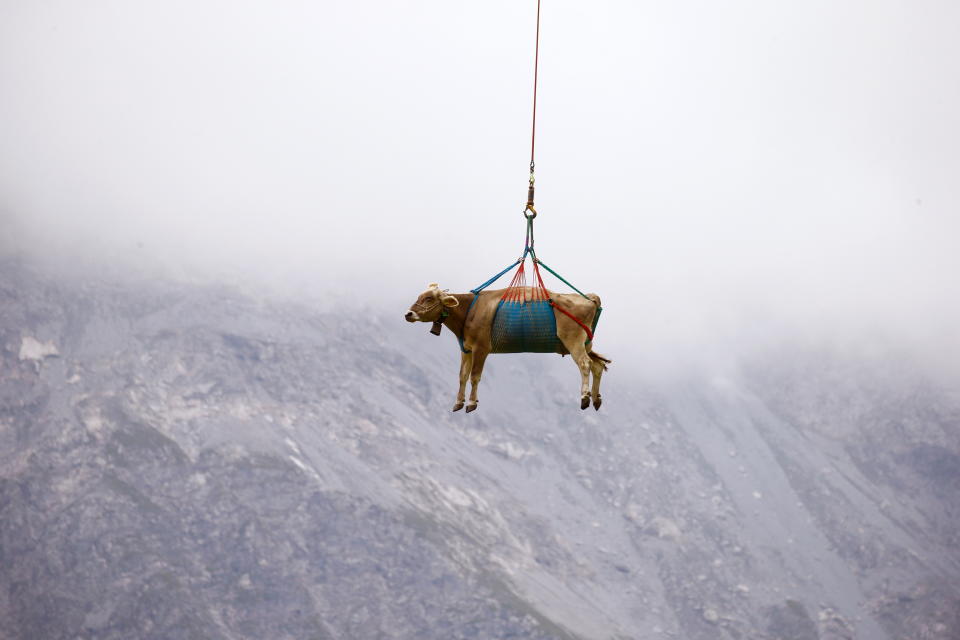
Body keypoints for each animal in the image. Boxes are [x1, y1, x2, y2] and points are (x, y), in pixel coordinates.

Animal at [404, 282, 612, 412]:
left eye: (429, 299)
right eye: (420, 296)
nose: (408, 314)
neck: (470, 310)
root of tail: (589, 298)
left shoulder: (481, 348)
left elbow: (474, 376)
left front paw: (471, 402)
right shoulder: (466, 348)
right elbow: (462, 375)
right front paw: (458, 402)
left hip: (574, 340)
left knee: (585, 364)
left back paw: (585, 397)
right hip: (583, 344)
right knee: (597, 365)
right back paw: (596, 398)